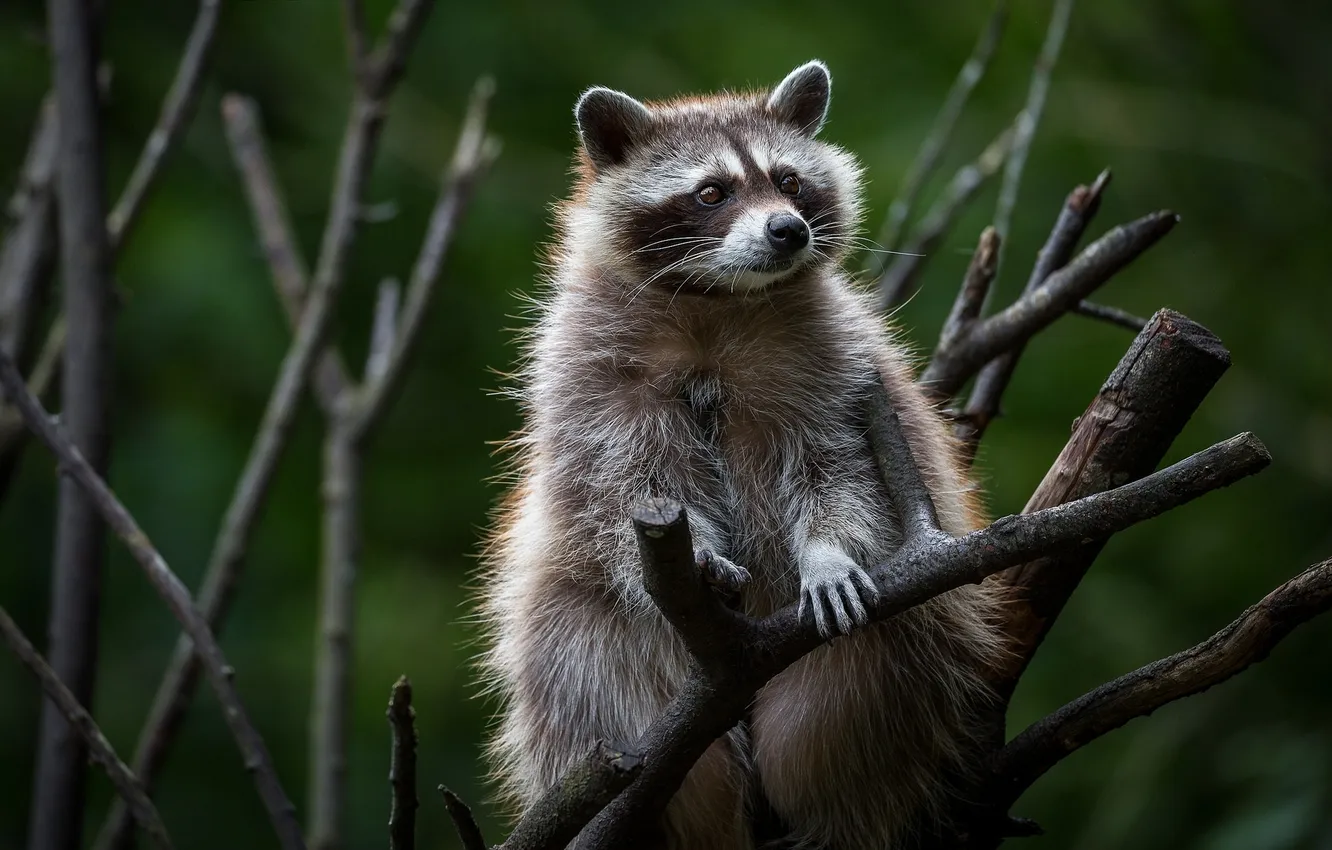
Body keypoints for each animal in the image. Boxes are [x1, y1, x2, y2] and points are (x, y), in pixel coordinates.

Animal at [476, 61, 1009, 849]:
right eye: (711, 192)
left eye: (788, 181)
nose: (788, 229)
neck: (718, 299)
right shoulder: (589, 377)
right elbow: (617, 486)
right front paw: (695, 550)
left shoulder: (837, 369)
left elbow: (836, 467)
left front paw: (826, 551)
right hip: (585, 644)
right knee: (590, 679)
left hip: (895, 644)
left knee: (840, 727)